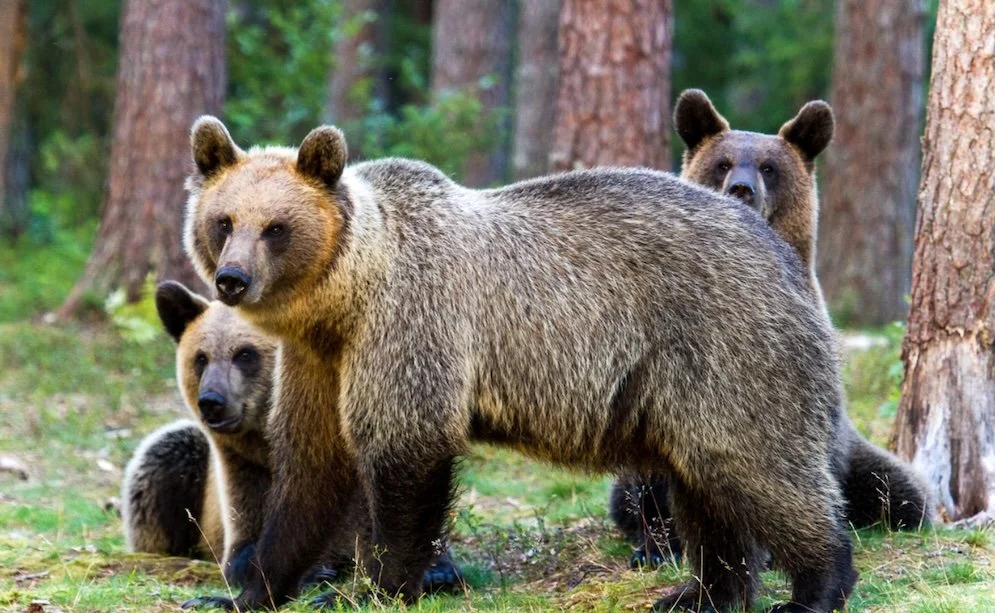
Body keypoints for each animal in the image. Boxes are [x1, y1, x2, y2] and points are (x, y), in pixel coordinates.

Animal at [122, 281, 462, 590]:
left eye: (245, 354)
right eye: (201, 357)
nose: (212, 401)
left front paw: (436, 570)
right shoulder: (242, 471)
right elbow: (247, 543)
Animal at [179, 116, 855, 612]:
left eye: (276, 227)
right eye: (224, 220)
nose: (233, 279)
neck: (346, 294)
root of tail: (785, 257)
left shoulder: (411, 323)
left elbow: (405, 451)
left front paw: (381, 586)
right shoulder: (319, 360)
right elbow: (310, 471)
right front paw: (245, 591)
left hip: (727, 351)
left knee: (758, 466)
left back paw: (814, 588)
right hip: (684, 392)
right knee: (705, 490)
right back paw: (702, 593)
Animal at [610, 89, 935, 570]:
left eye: (768, 166)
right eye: (723, 162)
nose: (741, 188)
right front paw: (654, 547)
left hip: (854, 456)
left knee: (902, 493)